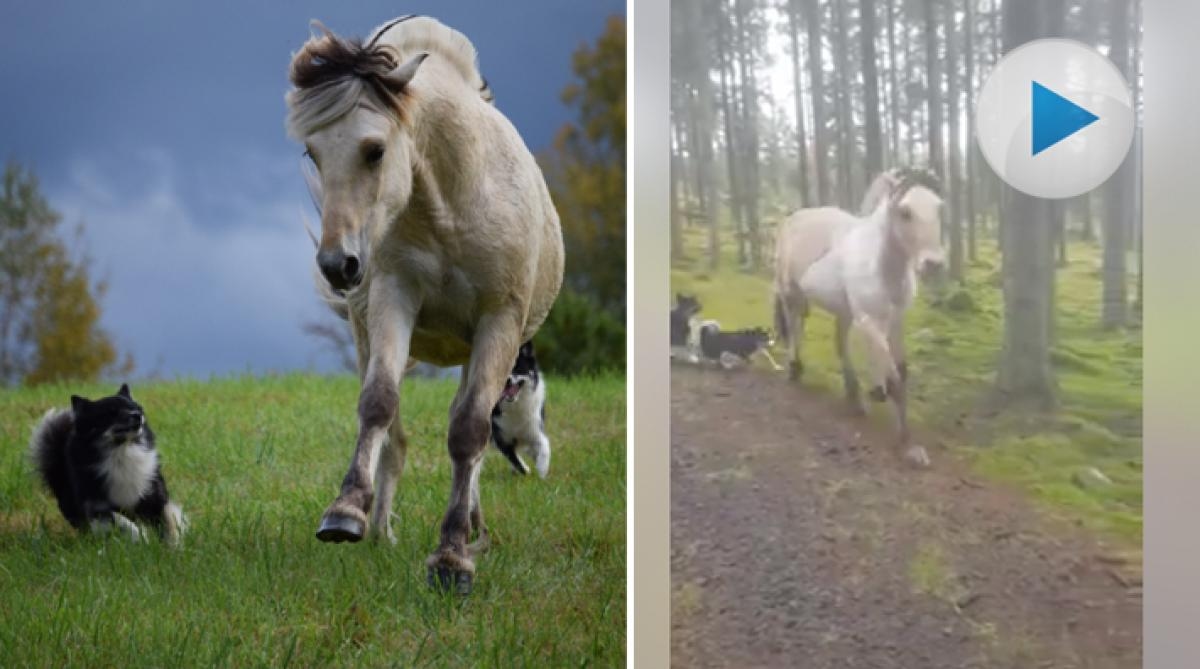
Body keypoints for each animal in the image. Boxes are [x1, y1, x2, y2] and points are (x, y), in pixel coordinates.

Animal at [28, 386, 184, 549]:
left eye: (137, 408)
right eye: (112, 413)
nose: (138, 415)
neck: (122, 451)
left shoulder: (154, 496)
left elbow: (168, 519)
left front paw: (172, 545)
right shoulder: (98, 507)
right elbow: (122, 522)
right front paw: (140, 539)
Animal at [489, 342, 549, 479]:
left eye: (517, 368)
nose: (507, 380)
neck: (515, 404)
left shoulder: (534, 430)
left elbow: (545, 445)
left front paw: (542, 469)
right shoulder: (502, 438)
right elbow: (515, 460)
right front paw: (525, 469)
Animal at [772, 170, 940, 469]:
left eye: (939, 207)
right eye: (905, 212)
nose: (934, 264)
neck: (882, 267)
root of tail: (791, 219)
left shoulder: (895, 323)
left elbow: (901, 373)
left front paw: (908, 440)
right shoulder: (868, 322)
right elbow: (895, 380)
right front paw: (906, 445)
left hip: (842, 311)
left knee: (839, 343)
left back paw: (854, 398)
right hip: (790, 292)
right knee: (795, 328)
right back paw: (794, 369)